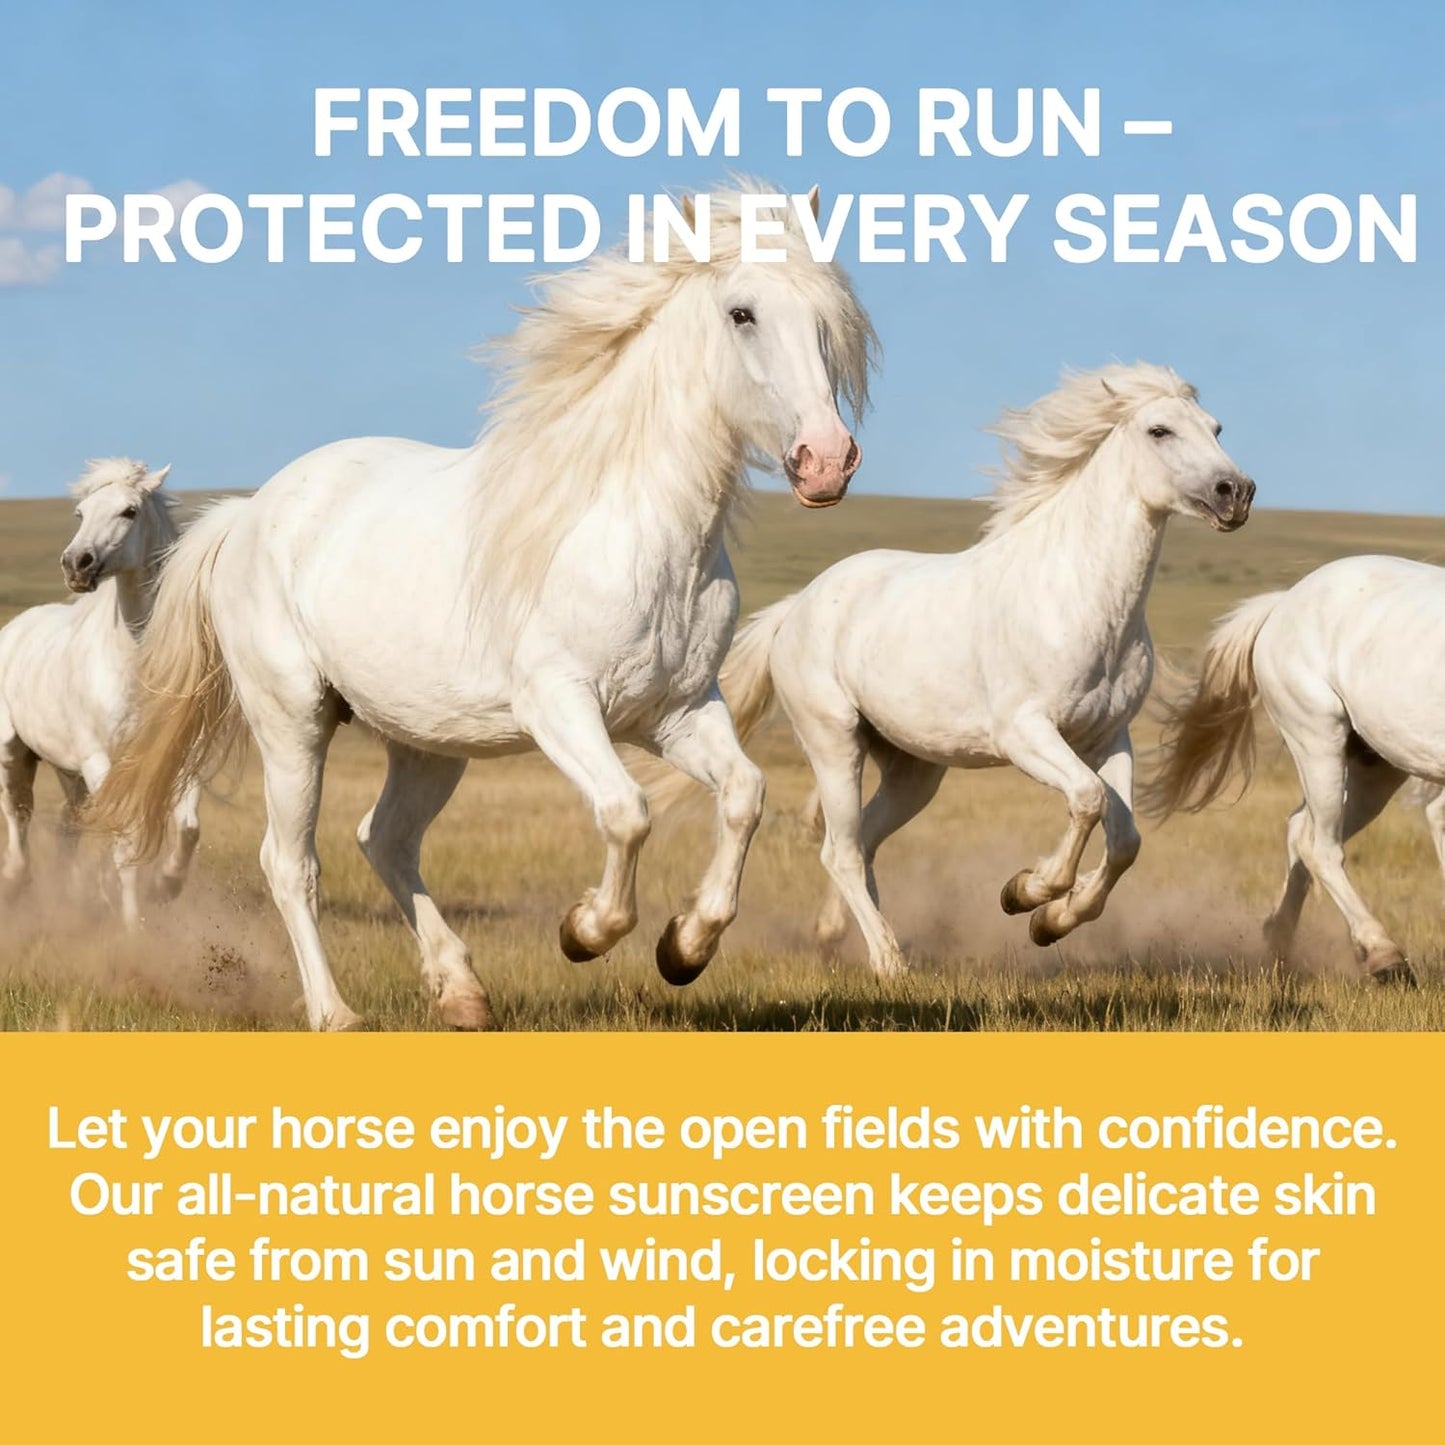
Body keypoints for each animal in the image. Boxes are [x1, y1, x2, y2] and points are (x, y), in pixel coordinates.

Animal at [0, 458, 203, 923]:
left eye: (129, 511)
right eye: (80, 513)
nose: (76, 563)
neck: (133, 663)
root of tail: (15, 628)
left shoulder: (176, 754)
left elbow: (186, 828)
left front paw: (164, 887)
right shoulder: (100, 761)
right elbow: (124, 840)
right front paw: (133, 924)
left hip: (68, 770)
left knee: (71, 822)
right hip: (13, 753)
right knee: (19, 813)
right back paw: (18, 882)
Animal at [91, 185, 874, 1031]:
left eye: (826, 318)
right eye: (741, 313)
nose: (826, 462)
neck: (636, 529)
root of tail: (247, 514)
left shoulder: (679, 709)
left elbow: (743, 796)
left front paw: (684, 946)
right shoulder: (560, 704)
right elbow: (626, 812)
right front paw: (584, 931)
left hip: (427, 738)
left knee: (385, 838)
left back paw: (462, 991)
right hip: (292, 718)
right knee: (291, 860)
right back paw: (336, 1012)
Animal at [696, 363, 1254, 978]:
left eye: (1217, 428)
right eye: (1160, 430)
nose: (1237, 493)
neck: (1081, 597)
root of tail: (796, 607)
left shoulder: (1108, 737)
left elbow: (1126, 839)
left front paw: (1053, 921)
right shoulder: (1025, 733)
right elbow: (1088, 800)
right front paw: (1028, 892)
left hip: (914, 770)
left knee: (863, 842)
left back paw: (837, 934)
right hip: (834, 742)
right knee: (839, 850)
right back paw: (888, 961)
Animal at [1141, 554, 1445, 985]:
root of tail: (1283, 603)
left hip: (1375, 765)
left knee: (1300, 829)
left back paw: (1280, 942)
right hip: (1318, 739)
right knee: (1320, 846)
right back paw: (1384, 957)